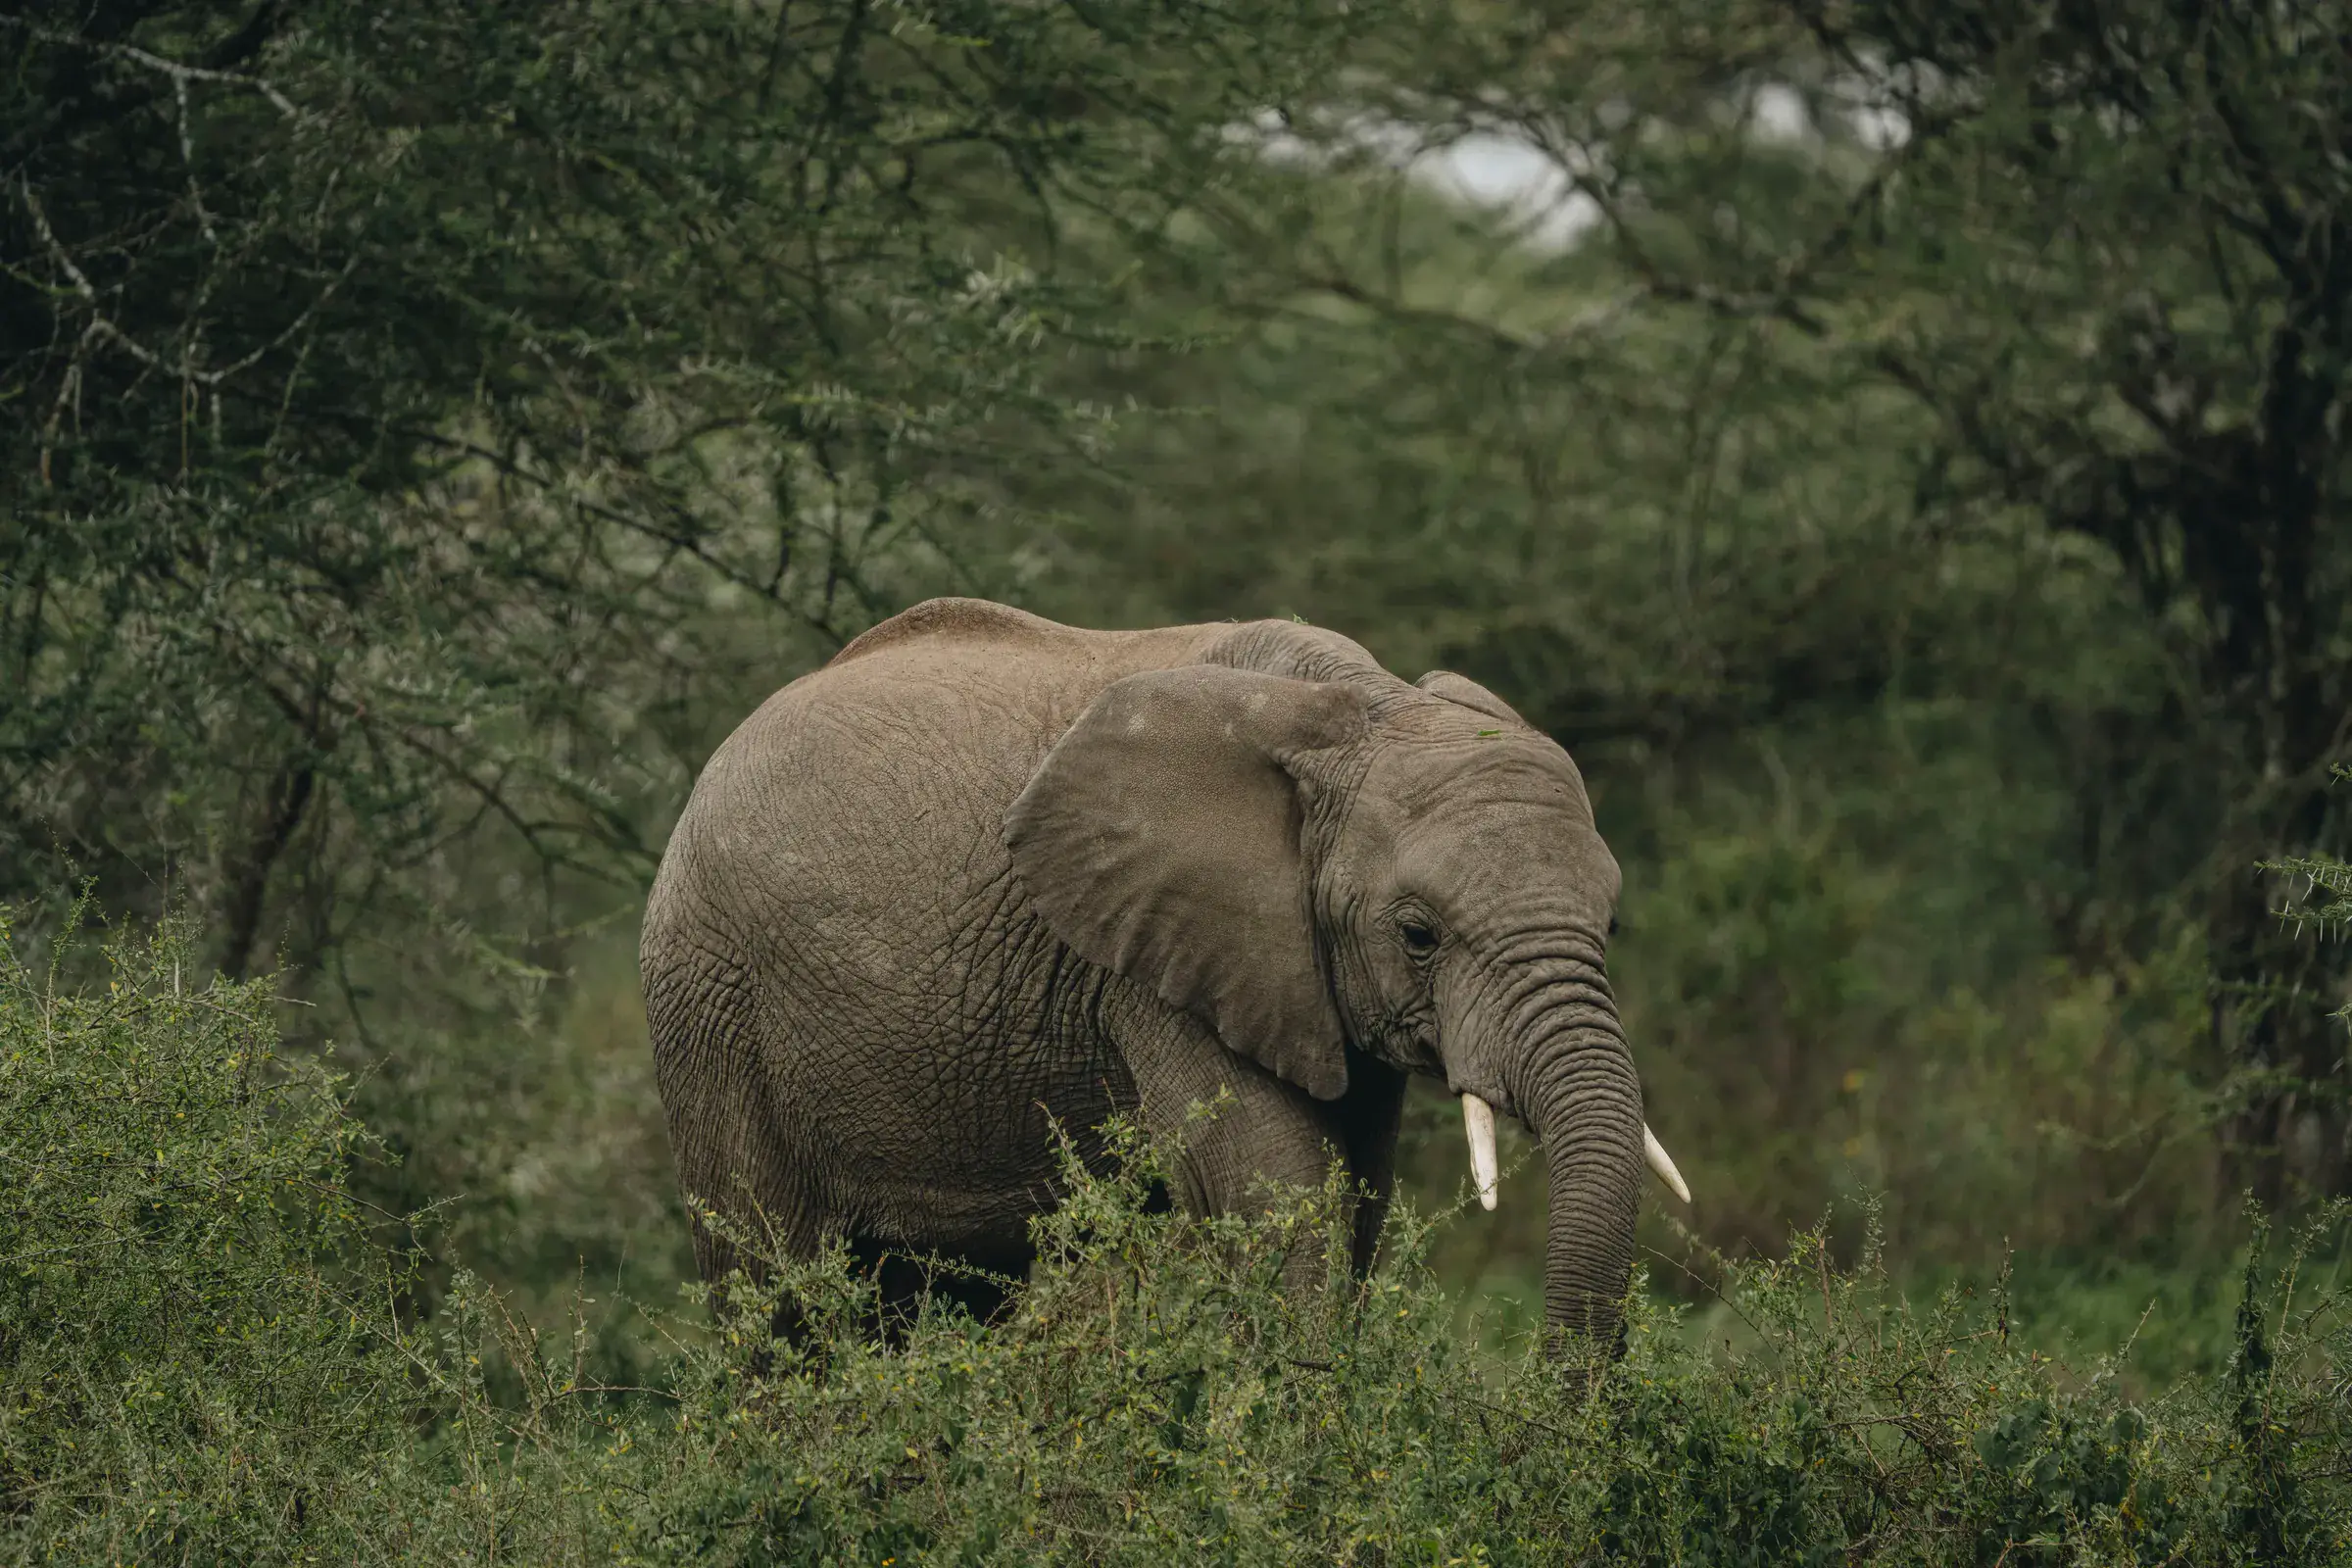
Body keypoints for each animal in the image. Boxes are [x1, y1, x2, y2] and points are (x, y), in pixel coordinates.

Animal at [640, 597, 1687, 1350]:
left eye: (1612, 921)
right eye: (1419, 934)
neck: (1355, 706)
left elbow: (1355, 1197)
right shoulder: (1153, 955)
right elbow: (1273, 1188)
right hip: (710, 1000)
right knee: (777, 1291)